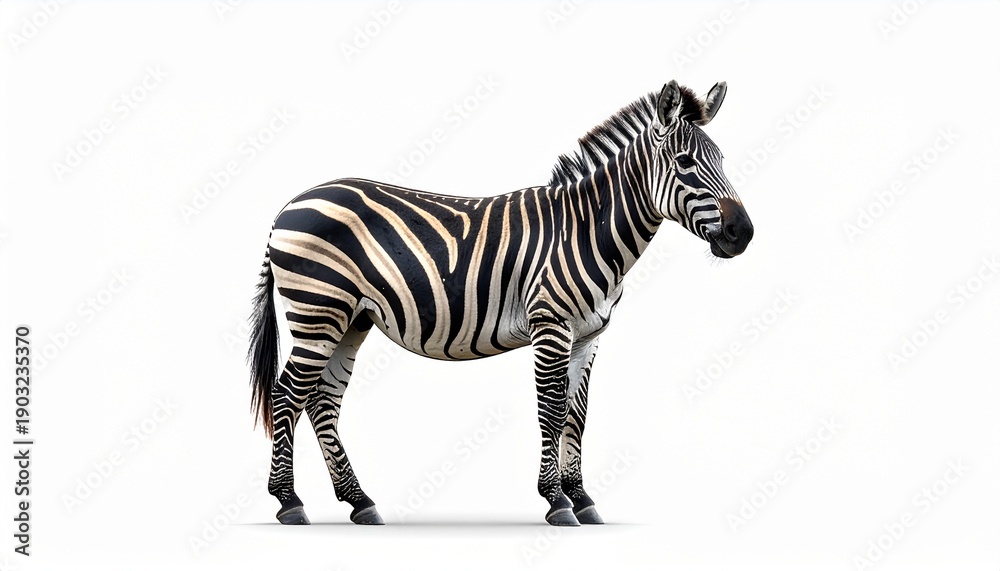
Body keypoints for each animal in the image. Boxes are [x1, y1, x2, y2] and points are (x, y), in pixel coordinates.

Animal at [247, 79, 753, 527]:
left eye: (722, 159)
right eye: (685, 162)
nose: (742, 233)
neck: (586, 231)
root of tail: (289, 205)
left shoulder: (589, 335)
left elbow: (577, 416)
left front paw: (582, 498)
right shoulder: (551, 326)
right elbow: (551, 410)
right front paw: (556, 501)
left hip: (351, 318)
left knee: (323, 400)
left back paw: (360, 501)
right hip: (318, 310)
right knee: (288, 393)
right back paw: (289, 501)